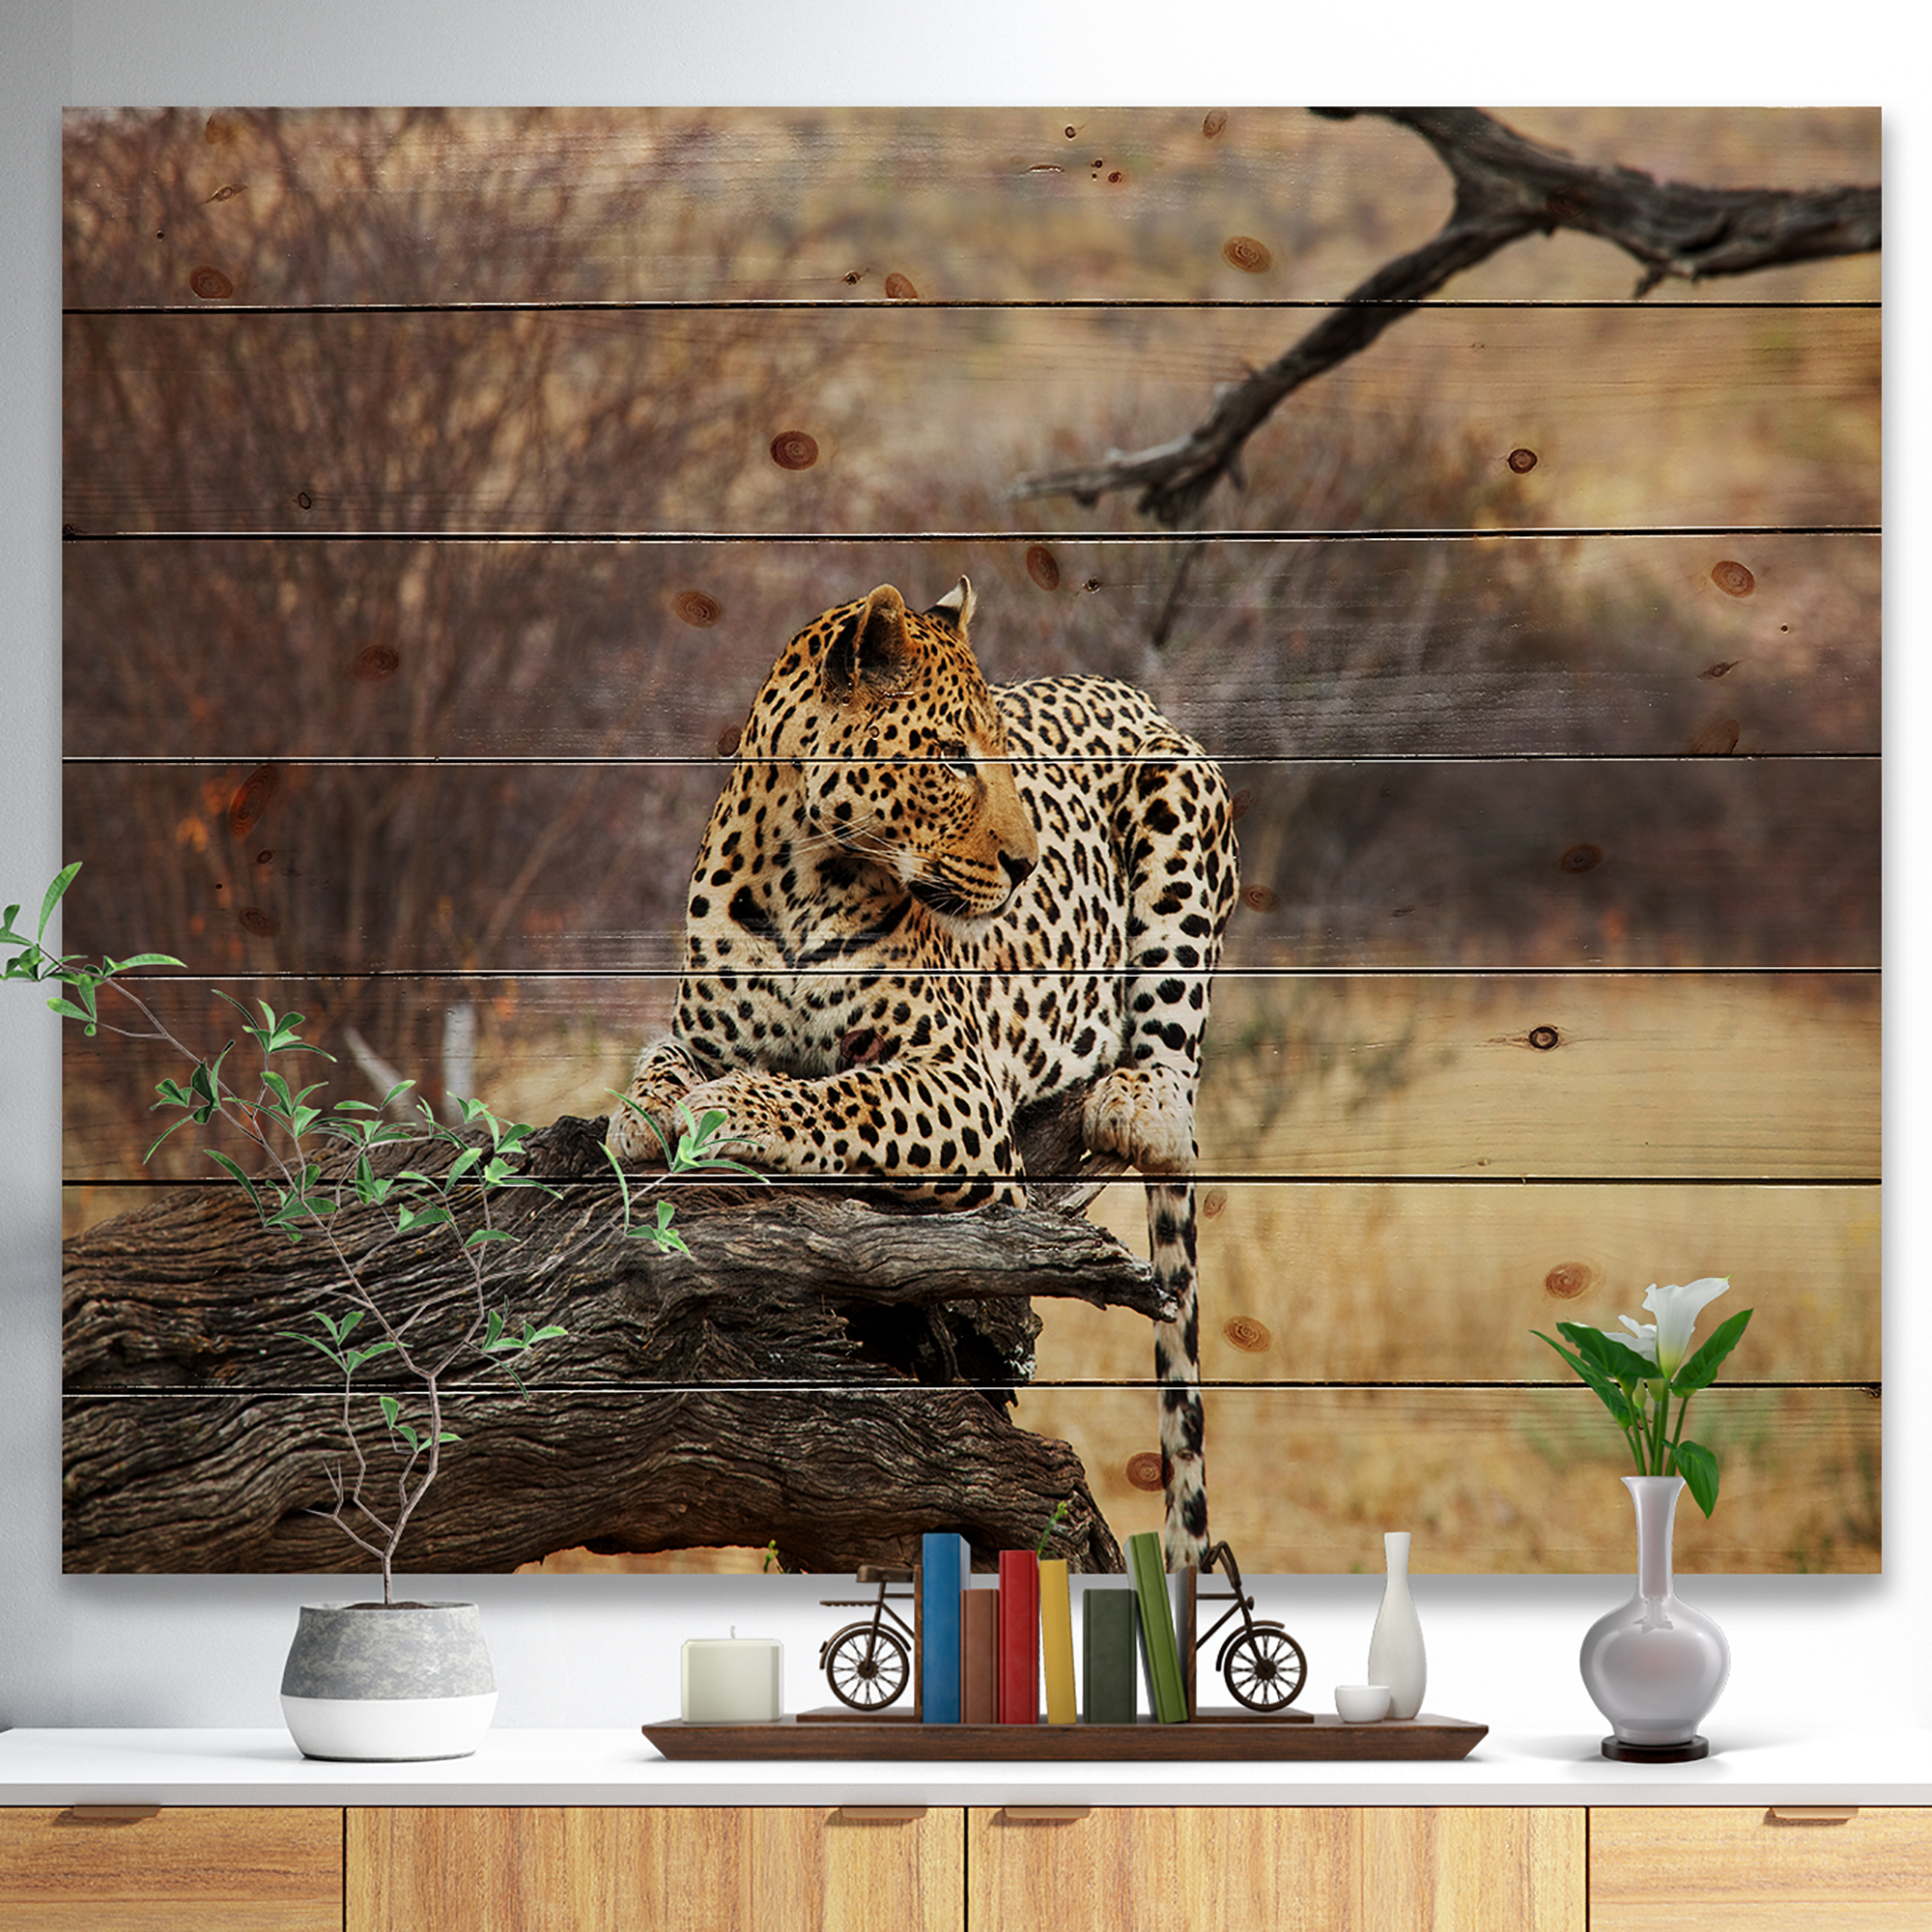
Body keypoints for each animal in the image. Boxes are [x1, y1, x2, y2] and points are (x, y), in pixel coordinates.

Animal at [608, 578, 1239, 1567]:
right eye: (949, 757)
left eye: (999, 755)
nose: (1025, 865)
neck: (797, 876)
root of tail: (1135, 695)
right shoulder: (695, 1029)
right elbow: (664, 1062)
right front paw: (640, 1112)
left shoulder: (958, 1083)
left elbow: (846, 1096)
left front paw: (737, 1108)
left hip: (1182, 811)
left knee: (1172, 1075)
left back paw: (1135, 1098)